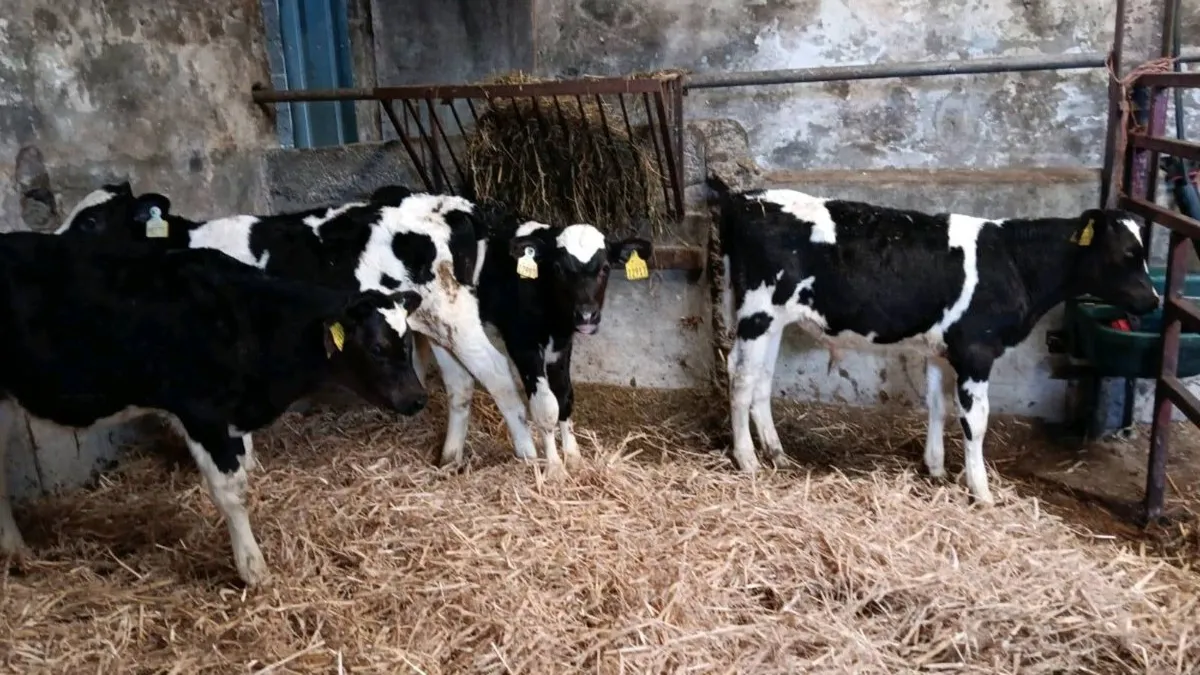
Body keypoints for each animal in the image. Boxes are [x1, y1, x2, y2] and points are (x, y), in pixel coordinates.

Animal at [0, 231, 425, 586]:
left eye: (408, 342)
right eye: (377, 348)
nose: (418, 399)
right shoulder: (202, 414)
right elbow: (231, 493)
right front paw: (253, 569)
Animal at [708, 174, 1160, 505]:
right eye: (1126, 253)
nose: (1154, 299)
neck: (1015, 263)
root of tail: (744, 199)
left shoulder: (943, 350)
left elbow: (938, 407)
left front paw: (937, 469)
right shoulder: (976, 350)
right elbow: (976, 421)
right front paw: (981, 492)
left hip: (774, 320)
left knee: (761, 379)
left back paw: (777, 453)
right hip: (758, 312)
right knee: (741, 378)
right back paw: (747, 459)